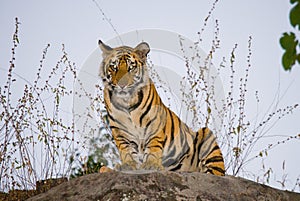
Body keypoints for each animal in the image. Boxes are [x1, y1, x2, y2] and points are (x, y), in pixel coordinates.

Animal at [98, 40, 225, 175]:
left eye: (131, 68)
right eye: (114, 67)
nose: (122, 85)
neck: (126, 101)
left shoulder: (154, 125)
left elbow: (153, 147)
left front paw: (151, 165)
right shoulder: (119, 132)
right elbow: (126, 151)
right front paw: (127, 165)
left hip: (207, 136)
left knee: (215, 172)